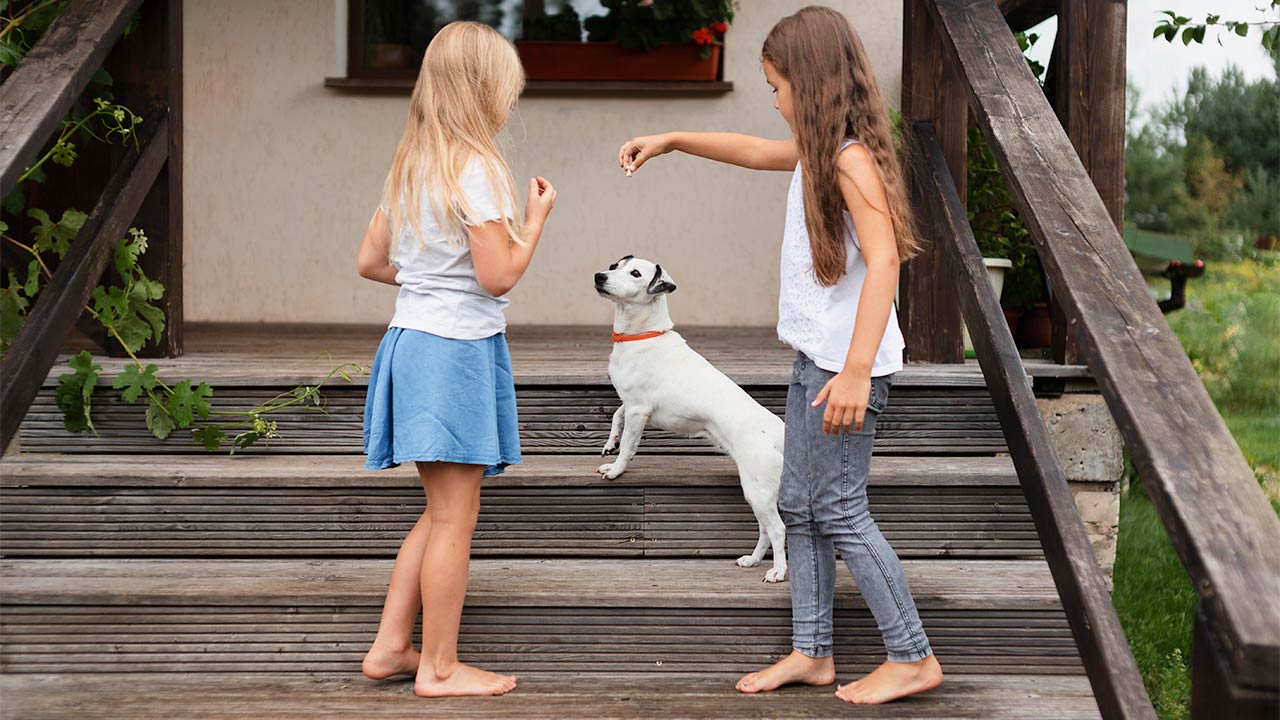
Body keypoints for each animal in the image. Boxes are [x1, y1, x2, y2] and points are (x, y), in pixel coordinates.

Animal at [593, 254, 783, 579]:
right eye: (614, 265)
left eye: (635, 273)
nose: (599, 276)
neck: (641, 336)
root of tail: (779, 431)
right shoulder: (630, 402)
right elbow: (617, 416)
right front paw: (610, 443)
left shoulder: (639, 410)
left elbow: (629, 446)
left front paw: (616, 469)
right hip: (756, 492)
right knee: (765, 530)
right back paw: (753, 560)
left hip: (758, 490)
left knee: (778, 530)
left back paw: (779, 572)